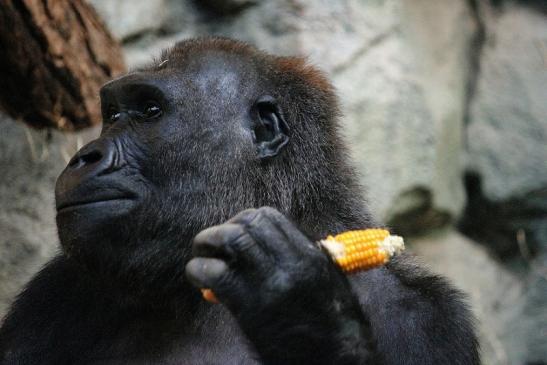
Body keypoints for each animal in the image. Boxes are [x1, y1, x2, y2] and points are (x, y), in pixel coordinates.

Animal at [0, 38, 480, 362]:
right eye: (113, 115)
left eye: (150, 111)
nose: (84, 157)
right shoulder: (48, 297)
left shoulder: (430, 319)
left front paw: (303, 310)